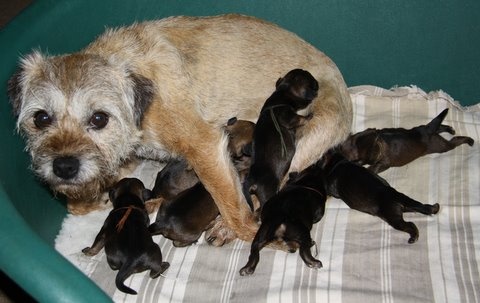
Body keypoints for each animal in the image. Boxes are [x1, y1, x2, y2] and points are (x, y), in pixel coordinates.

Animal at [244, 69, 318, 210]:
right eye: (309, 78)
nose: (318, 84)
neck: (281, 94)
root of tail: (252, 180)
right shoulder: (288, 116)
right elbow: (300, 118)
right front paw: (310, 115)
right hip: (268, 191)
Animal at [340, 108, 474, 173]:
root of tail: (427, 131)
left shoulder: (382, 164)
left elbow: (372, 168)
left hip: (440, 146)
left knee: (455, 141)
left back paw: (469, 140)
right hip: (426, 130)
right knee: (439, 127)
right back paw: (450, 129)